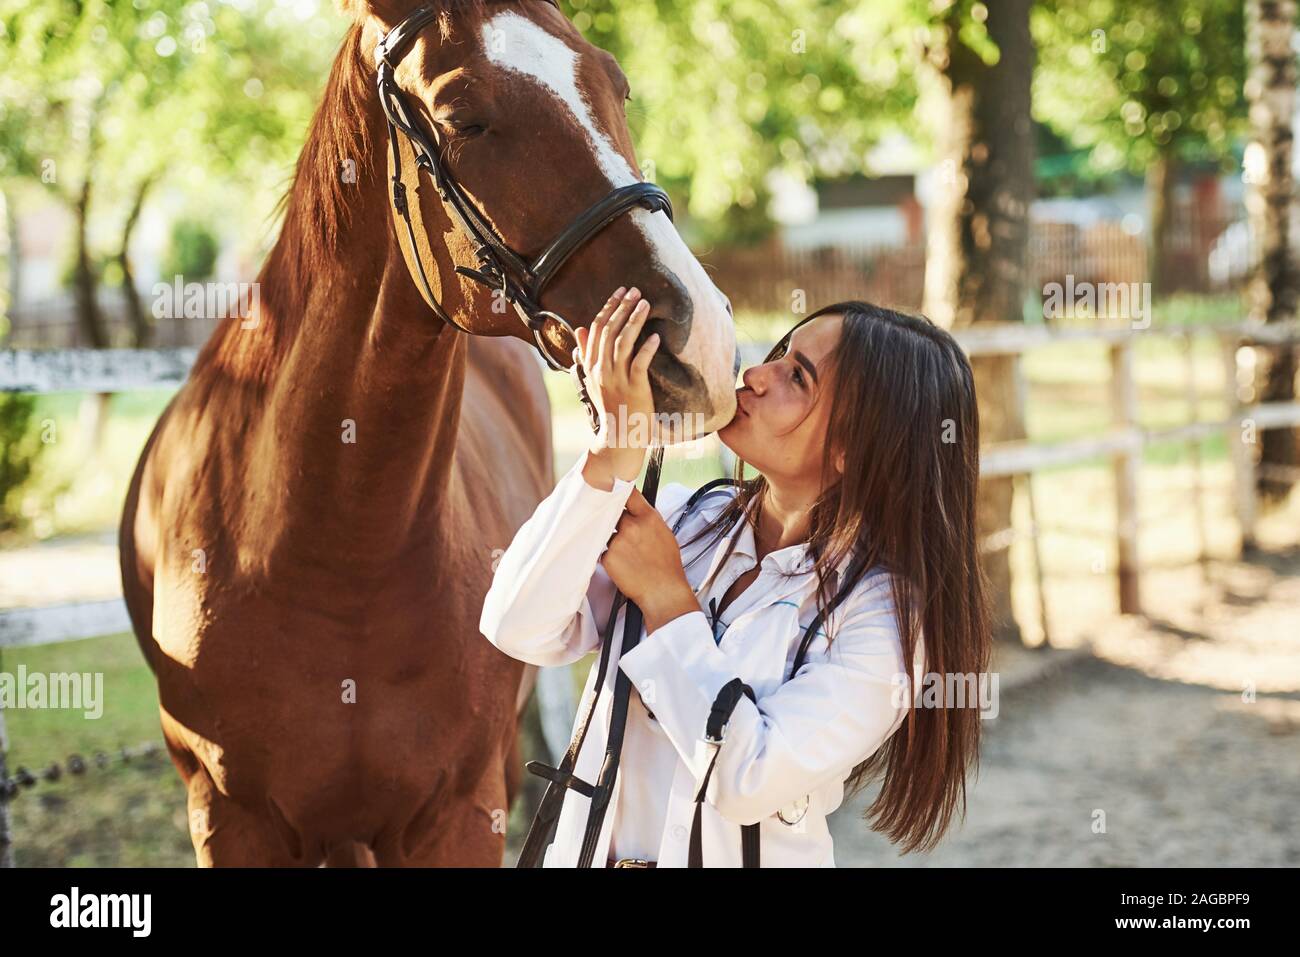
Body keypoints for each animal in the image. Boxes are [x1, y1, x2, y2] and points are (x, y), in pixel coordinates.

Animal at [118, 0, 738, 867]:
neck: (331, 563)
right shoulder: (229, 820)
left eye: (614, 83)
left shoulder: (461, 814)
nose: (700, 342)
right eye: (463, 118)